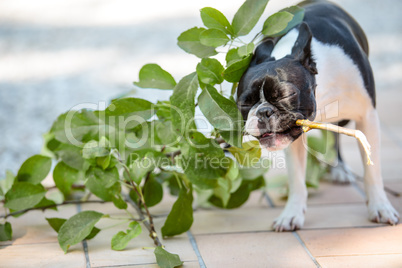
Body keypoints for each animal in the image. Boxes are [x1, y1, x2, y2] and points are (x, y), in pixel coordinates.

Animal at [236, 0, 398, 230]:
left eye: (287, 94)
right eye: (245, 103)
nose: (264, 111)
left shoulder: (367, 117)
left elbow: (372, 170)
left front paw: (380, 207)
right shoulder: (293, 139)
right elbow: (296, 178)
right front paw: (292, 213)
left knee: (336, 134)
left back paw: (340, 169)